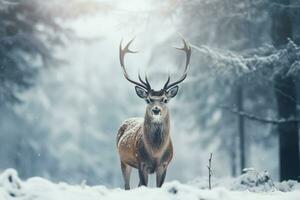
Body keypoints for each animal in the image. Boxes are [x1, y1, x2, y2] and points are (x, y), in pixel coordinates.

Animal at [116, 37, 191, 189]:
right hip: (123, 160)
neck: (155, 154)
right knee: (127, 186)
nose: (156, 109)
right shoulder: (141, 163)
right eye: (148, 99)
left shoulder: (164, 165)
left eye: (165, 100)